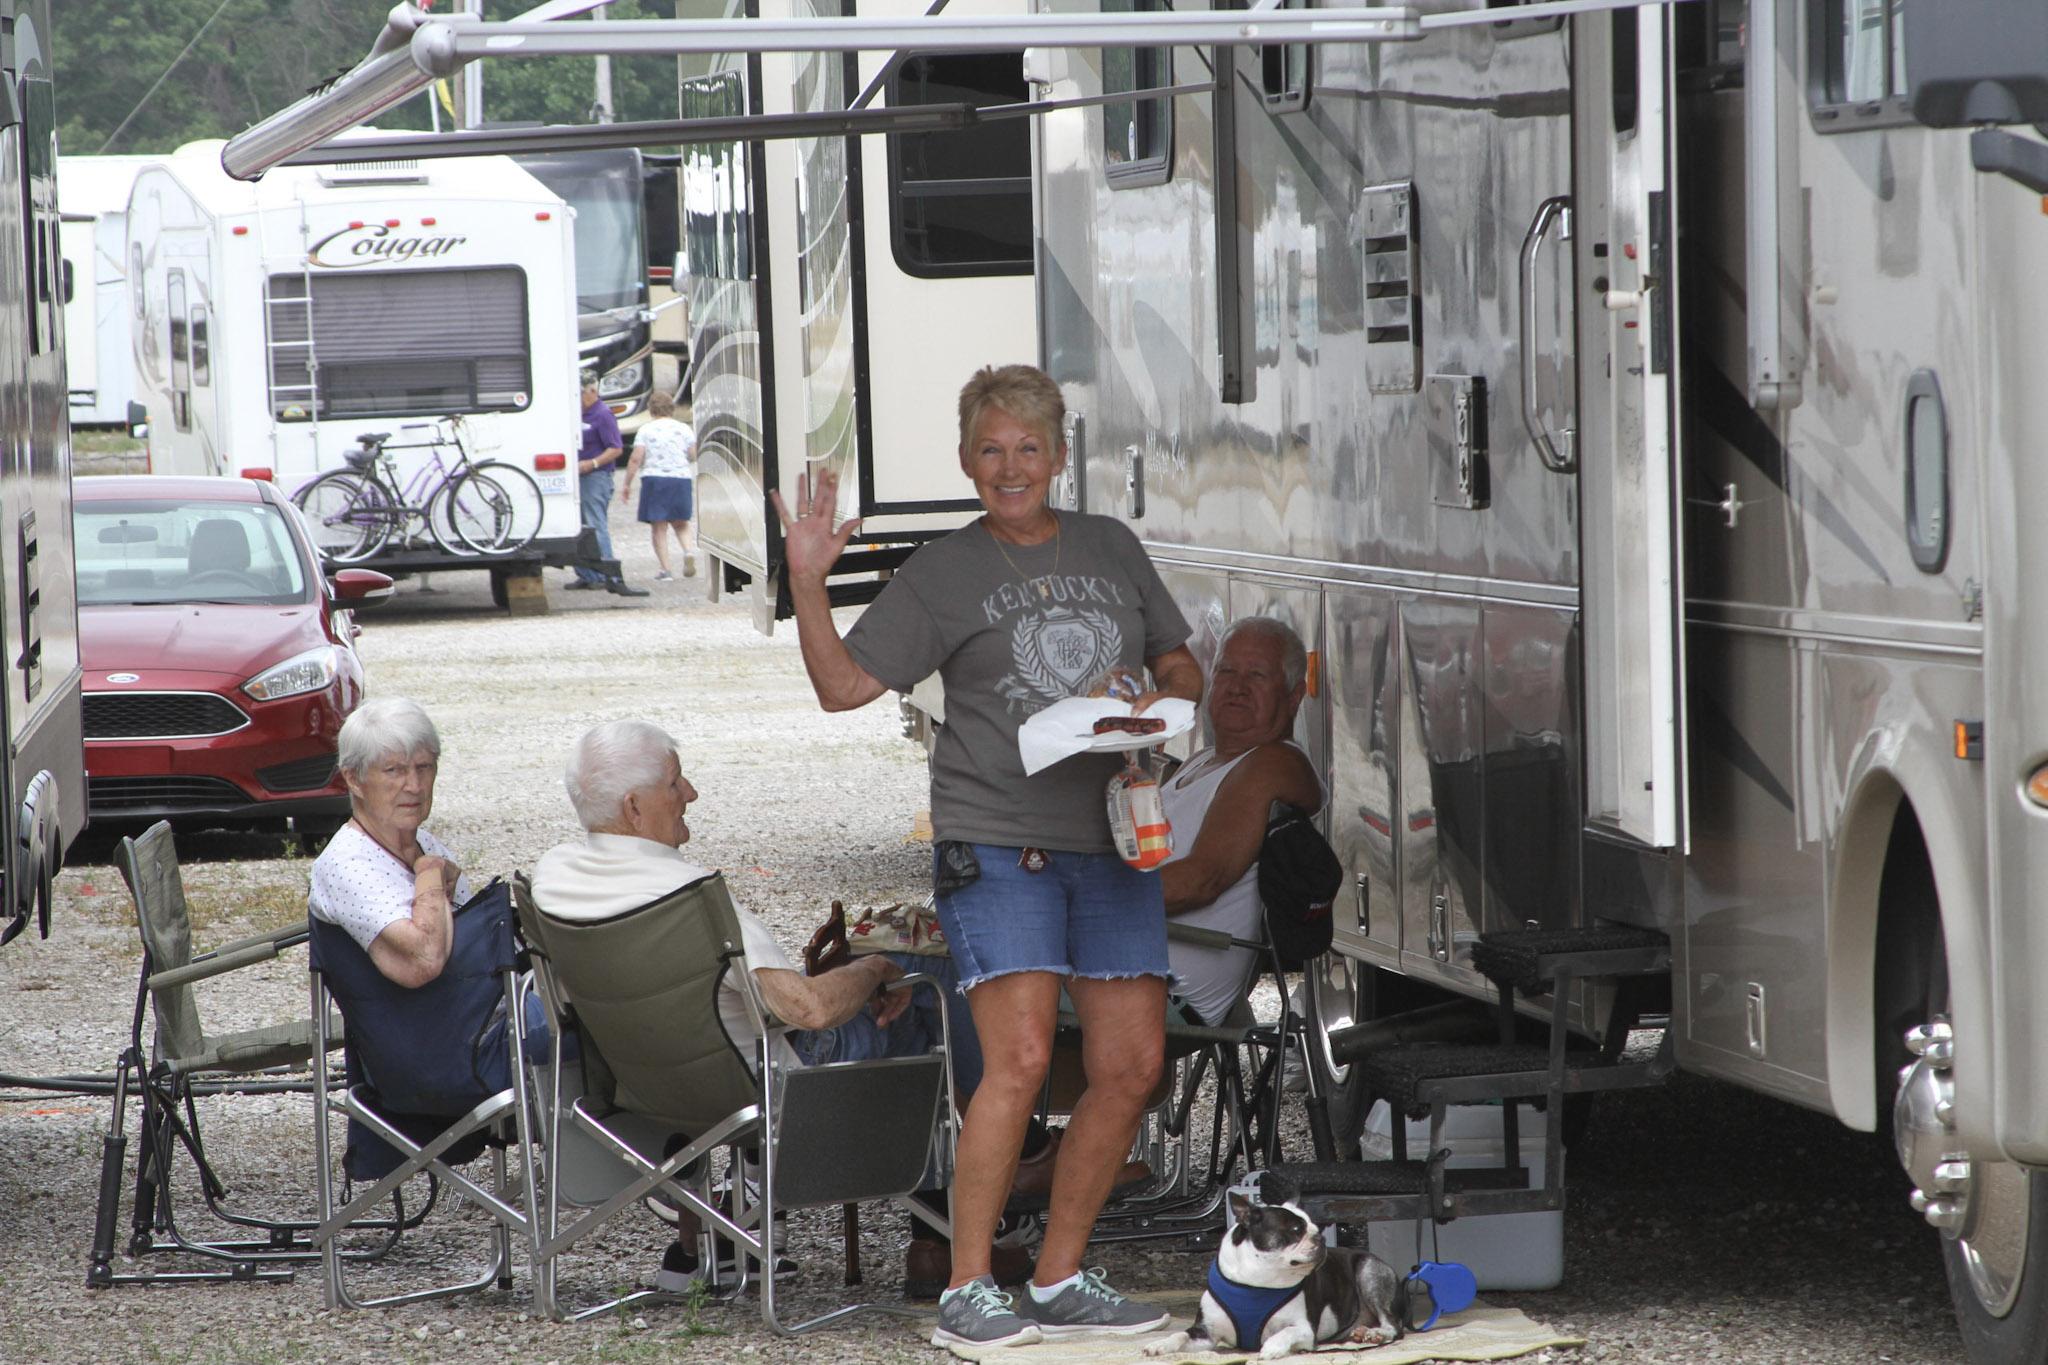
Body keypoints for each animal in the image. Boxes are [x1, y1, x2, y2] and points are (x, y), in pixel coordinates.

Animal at [1138, 1178, 1409, 1358]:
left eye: (1316, 1227)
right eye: (1296, 1230)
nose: (1320, 1239)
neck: (1257, 1281)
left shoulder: (1305, 1330)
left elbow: (1286, 1332)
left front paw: (1272, 1347)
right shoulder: (1206, 1333)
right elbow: (1180, 1334)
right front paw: (1161, 1345)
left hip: (1370, 1272)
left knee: (1394, 1325)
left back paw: (1378, 1334)